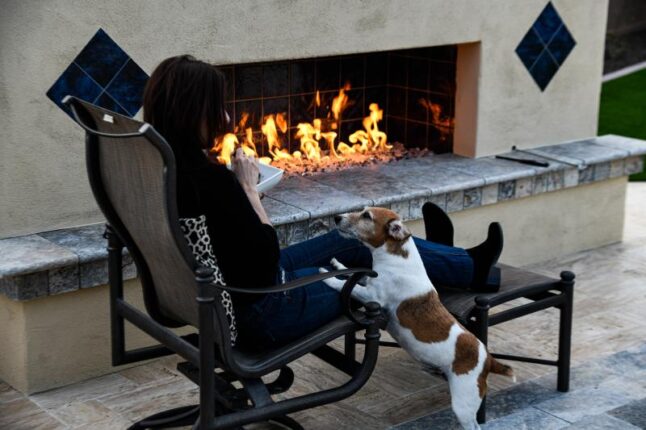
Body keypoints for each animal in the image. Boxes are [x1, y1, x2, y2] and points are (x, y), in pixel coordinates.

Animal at [322, 207, 512, 428]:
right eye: (362, 211)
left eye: (367, 216)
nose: (336, 217)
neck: (396, 258)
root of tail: (488, 360)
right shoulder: (369, 282)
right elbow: (354, 275)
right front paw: (338, 264)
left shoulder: (373, 297)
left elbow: (343, 285)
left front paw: (326, 277)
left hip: (463, 404)